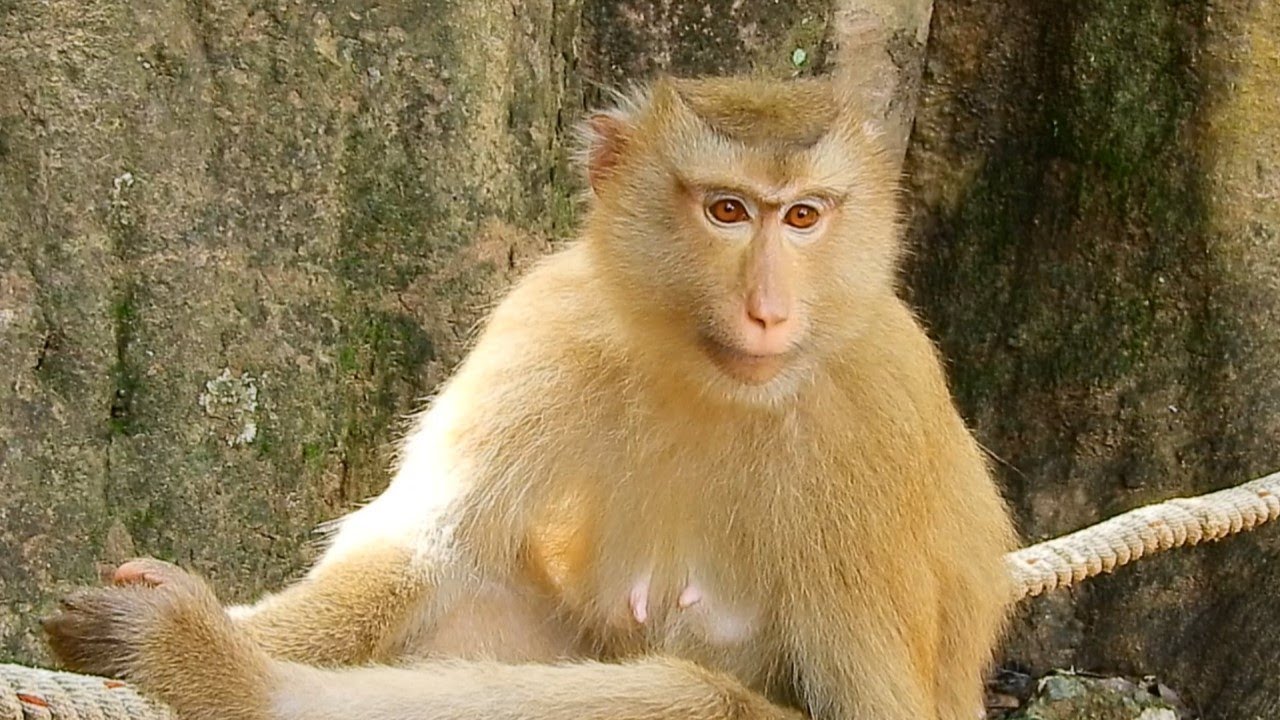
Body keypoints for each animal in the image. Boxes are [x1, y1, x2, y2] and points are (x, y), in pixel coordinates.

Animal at [43, 73, 1020, 720]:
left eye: (806, 216)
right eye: (728, 211)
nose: (769, 311)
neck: (713, 382)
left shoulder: (873, 419)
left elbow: (873, 711)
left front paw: (218, 659)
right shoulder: (551, 327)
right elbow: (425, 551)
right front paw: (246, 633)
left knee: (689, 692)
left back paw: (229, 677)